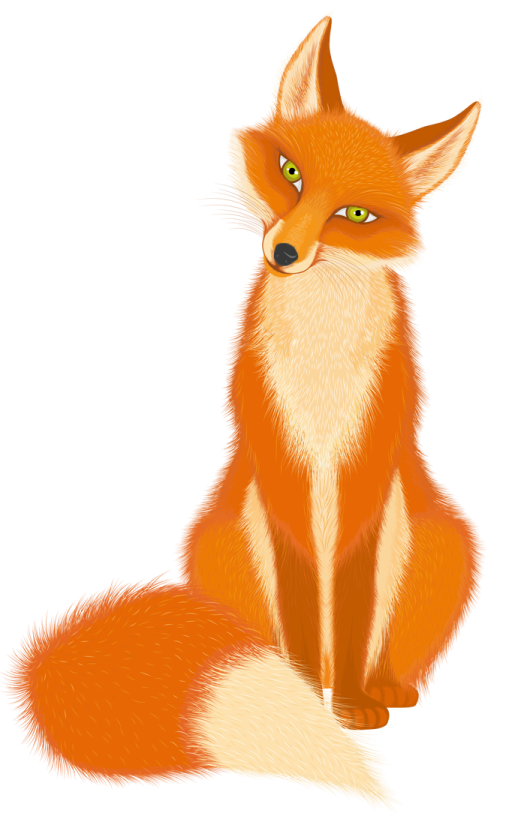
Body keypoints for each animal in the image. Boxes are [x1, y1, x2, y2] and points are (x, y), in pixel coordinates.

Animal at [2, 9, 486, 813]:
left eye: (355, 214)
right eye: (290, 173)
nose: (286, 252)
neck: (320, 359)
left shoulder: (364, 466)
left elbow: (349, 604)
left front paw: (347, 705)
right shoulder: (279, 457)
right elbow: (300, 601)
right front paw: (312, 698)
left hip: (442, 540)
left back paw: (380, 691)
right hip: (224, 535)